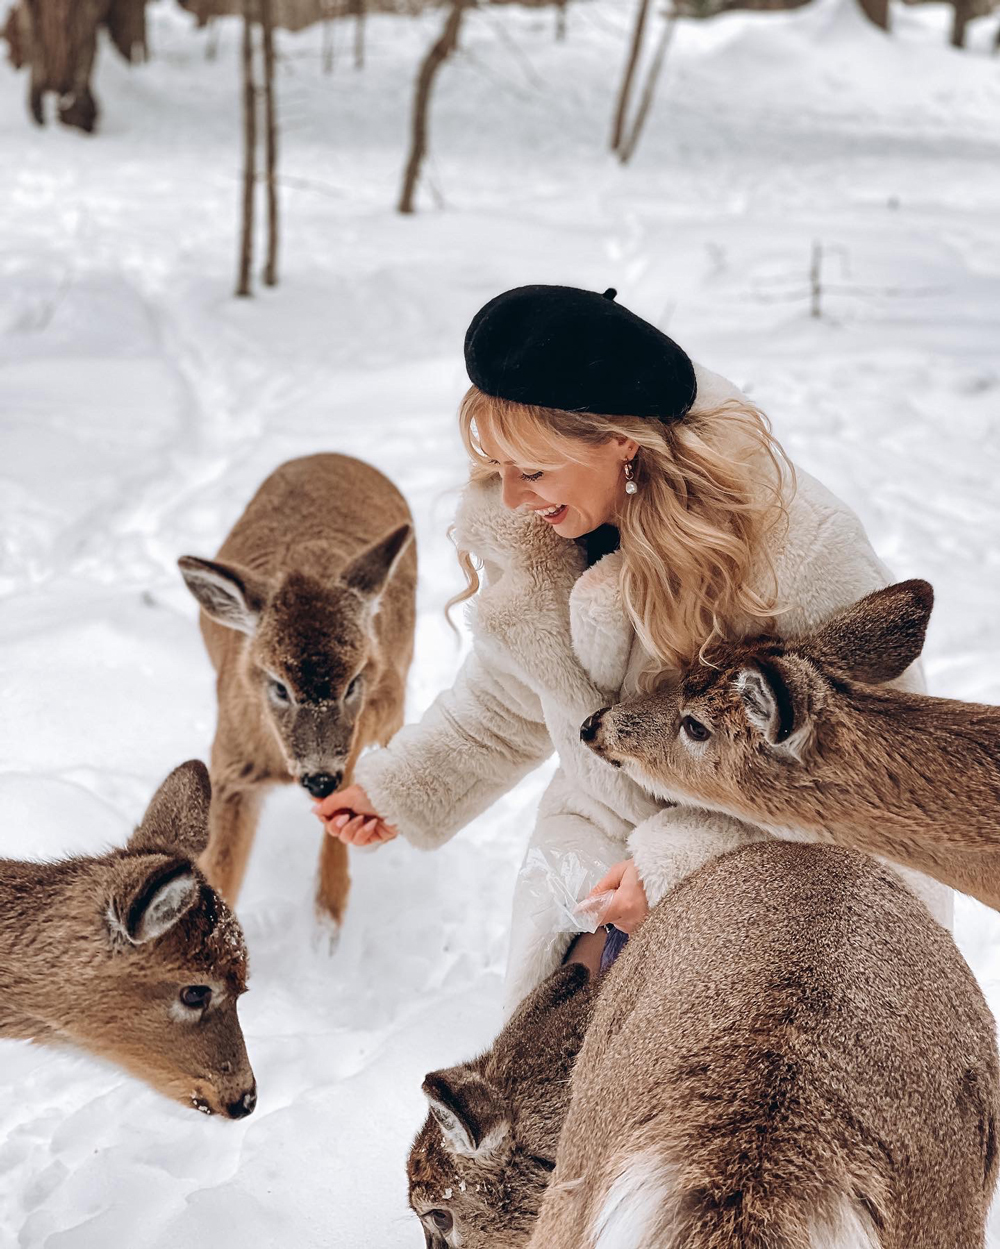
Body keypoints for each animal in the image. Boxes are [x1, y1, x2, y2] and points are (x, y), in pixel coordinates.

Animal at [178, 453, 416, 932]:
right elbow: (221, 873)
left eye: (353, 682)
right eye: (278, 687)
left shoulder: (388, 698)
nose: (320, 779)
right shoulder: (230, 761)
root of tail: (328, 453)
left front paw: (326, 927)